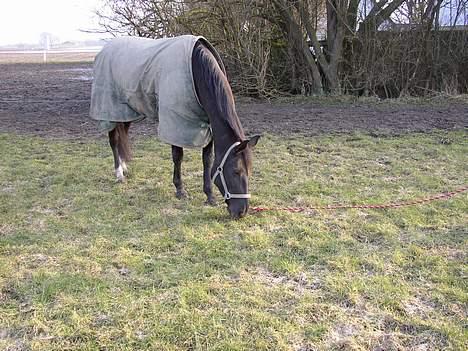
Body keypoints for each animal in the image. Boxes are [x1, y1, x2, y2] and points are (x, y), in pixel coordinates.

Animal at [89, 35, 260, 217]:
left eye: (250, 170)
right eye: (236, 171)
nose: (241, 211)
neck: (195, 70)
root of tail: (105, 49)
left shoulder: (208, 126)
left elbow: (207, 160)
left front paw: (209, 196)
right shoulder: (175, 123)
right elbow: (178, 156)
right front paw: (180, 190)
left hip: (127, 111)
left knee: (123, 136)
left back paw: (124, 167)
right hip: (111, 110)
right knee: (114, 140)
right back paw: (119, 174)